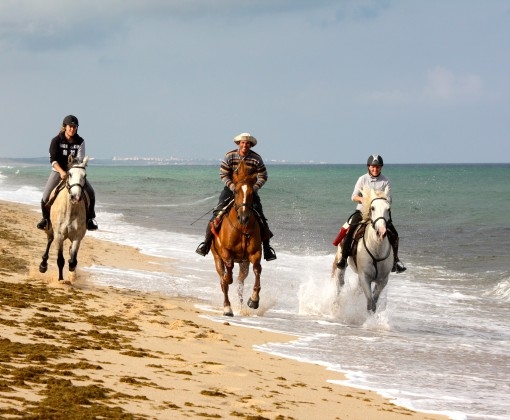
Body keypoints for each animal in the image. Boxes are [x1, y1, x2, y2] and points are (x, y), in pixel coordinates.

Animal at [210, 160, 262, 316]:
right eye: (236, 191)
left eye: (252, 193)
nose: (243, 217)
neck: (242, 228)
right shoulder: (226, 252)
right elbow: (227, 275)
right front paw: (227, 278)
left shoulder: (254, 253)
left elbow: (257, 270)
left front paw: (254, 300)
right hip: (217, 257)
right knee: (224, 281)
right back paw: (227, 308)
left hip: (244, 263)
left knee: (240, 283)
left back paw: (240, 306)